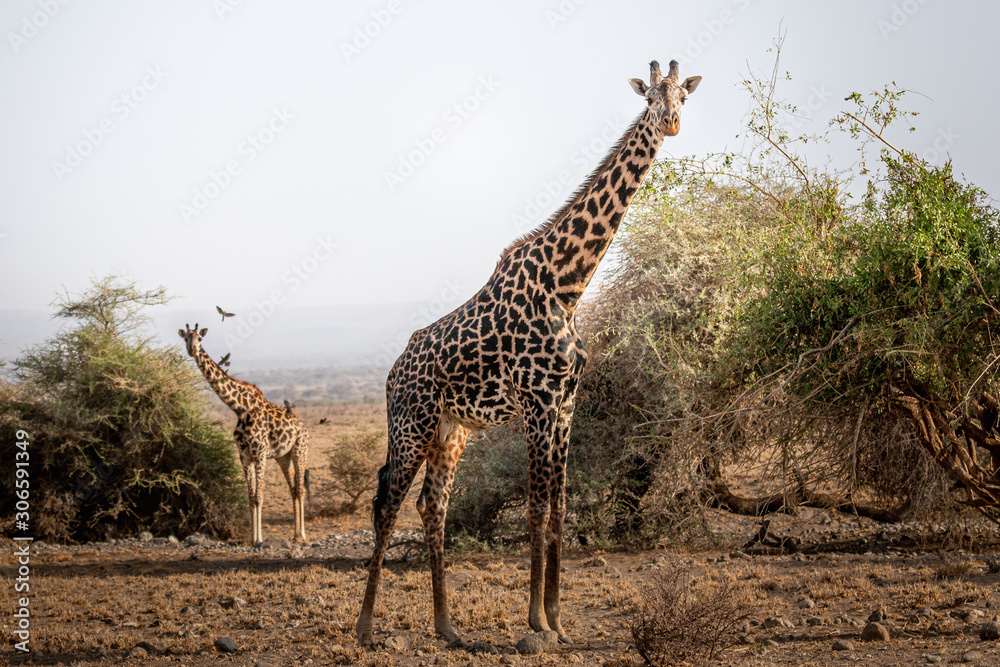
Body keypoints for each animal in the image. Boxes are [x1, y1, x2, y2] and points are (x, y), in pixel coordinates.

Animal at [178, 323, 309, 546]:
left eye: (199, 338)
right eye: (186, 338)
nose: (192, 350)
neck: (240, 408)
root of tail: (304, 426)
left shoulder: (260, 453)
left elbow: (259, 497)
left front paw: (259, 540)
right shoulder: (244, 455)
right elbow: (250, 497)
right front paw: (253, 539)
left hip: (300, 451)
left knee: (301, 489)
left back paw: (303, 535)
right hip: (283, 457)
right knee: (293, 490)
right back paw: (295, 534)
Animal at [356, 60, 701, 647]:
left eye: (683, 96)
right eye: (651, 97)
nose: (672, 122)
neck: (567, 285)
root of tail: (392, 374)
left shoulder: (565, 404)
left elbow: (559, 507)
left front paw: (559, 623)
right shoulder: (538, 404)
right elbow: (538, 509)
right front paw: (536, 623)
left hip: (451, 431)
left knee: (432, 506)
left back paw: (448, 629)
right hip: (411, 424)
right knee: (386, 505)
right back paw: (363, 628)